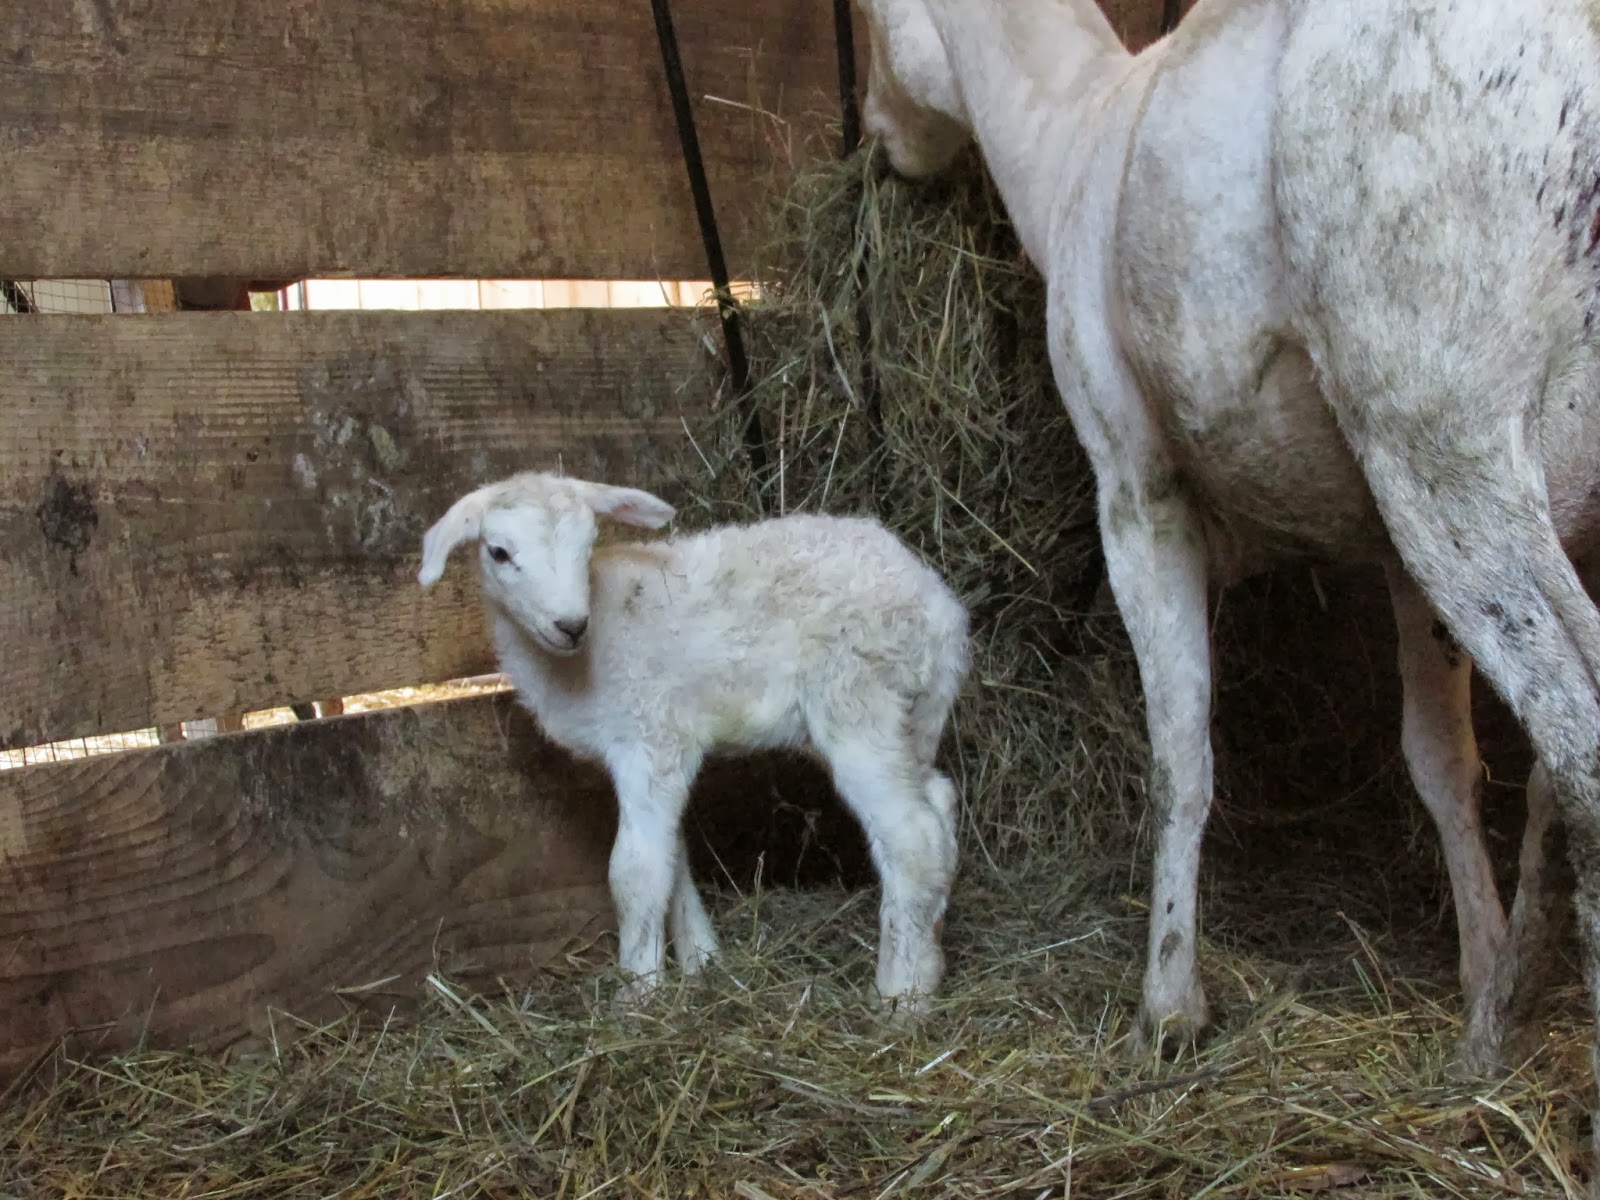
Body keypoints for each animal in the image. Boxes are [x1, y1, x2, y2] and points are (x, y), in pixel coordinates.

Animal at [417, 471, 971, 1009]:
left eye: (588, 542)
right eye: (499, 552)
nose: (570, 624)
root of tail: (937, 604)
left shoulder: (649, 738)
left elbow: (635, 872)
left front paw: (638, 995)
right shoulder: (661, 753)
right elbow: (671, 859)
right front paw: (701, 960)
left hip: (858, 700)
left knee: (913, 838)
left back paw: (899, 998)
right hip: (914, 713)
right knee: (939, 803)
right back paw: (930, 962)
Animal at [854, 0, 1600, 1139]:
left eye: (859, 16)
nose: (873, 139)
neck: (1066, 128)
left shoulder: (1133, 481)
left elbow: (1180, 759)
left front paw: (1168, 1009)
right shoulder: (1392, 550)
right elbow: (1442, 764)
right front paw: (1478, 984)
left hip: (1439, 425)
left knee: (1580, 749)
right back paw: (1502, 1018)